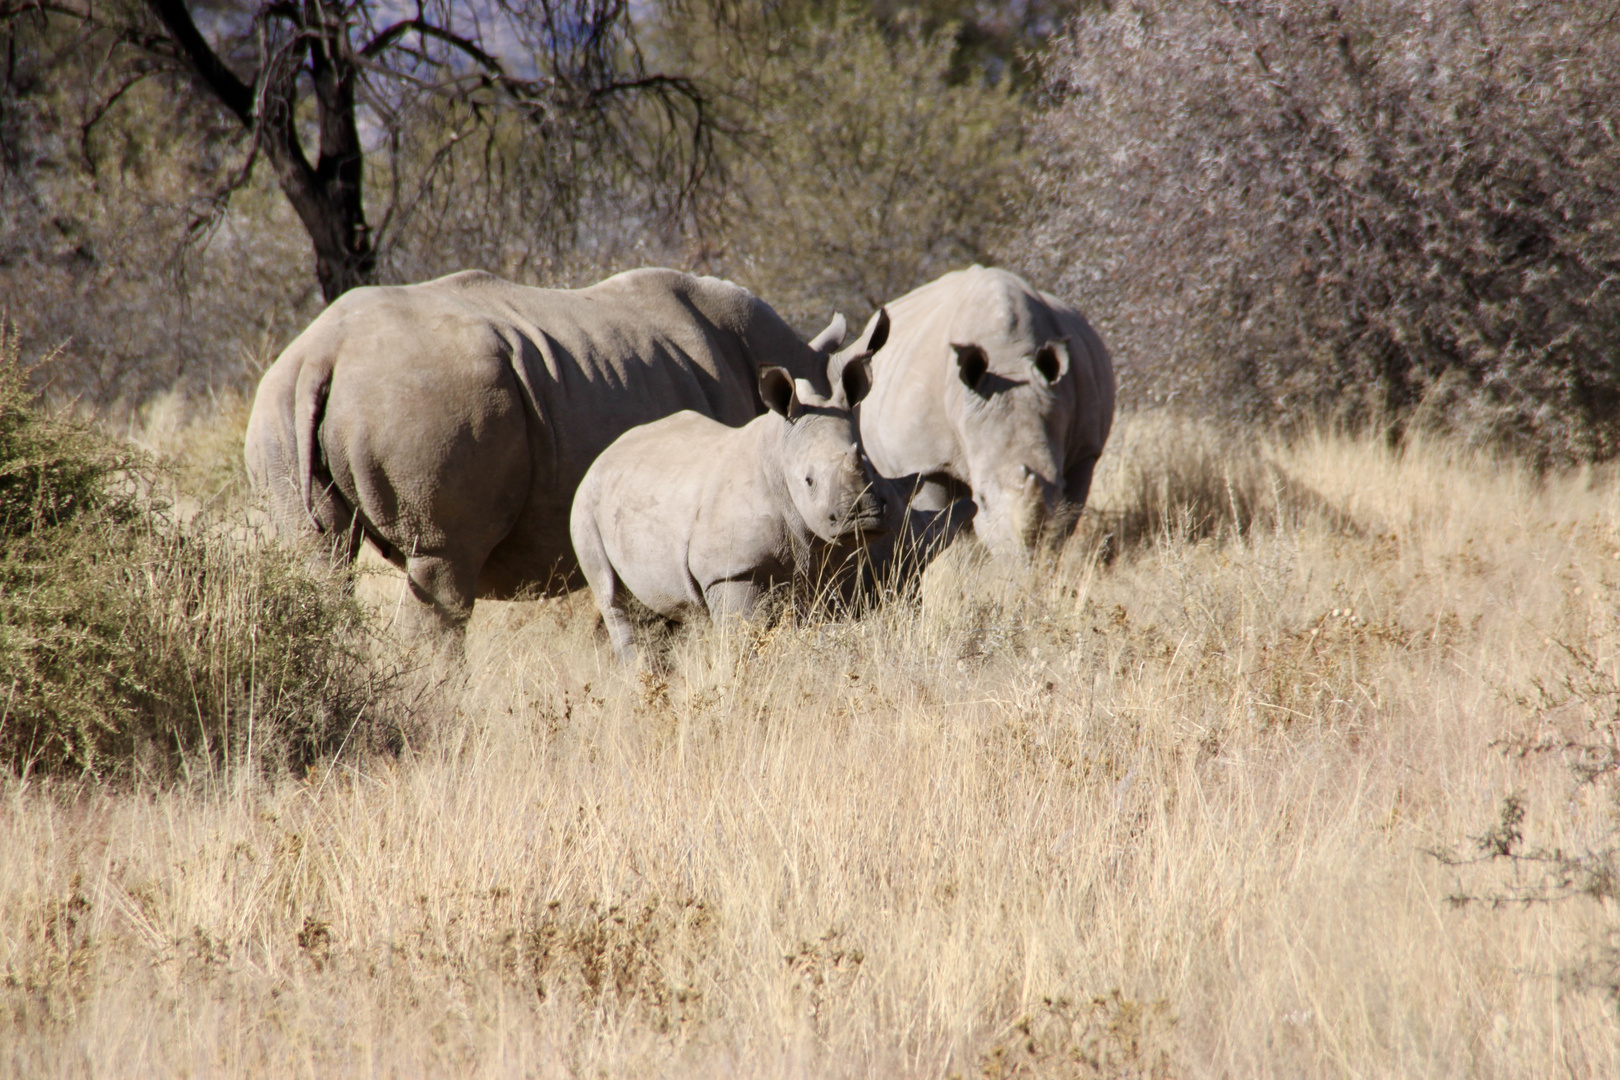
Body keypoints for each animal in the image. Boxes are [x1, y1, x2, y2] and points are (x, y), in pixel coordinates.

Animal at [570, 354, 894, 663]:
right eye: (809, 480)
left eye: (871, 469)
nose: (864, 519)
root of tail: (604, 454)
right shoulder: (731, 569)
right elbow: (745, 633)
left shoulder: (825, 563)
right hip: (584, 503)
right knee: (612, 596)